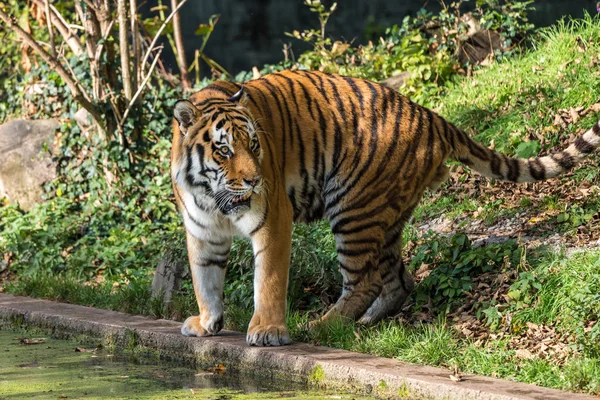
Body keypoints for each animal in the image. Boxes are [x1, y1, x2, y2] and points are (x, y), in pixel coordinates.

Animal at [170, 68, 600, 344]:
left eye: (255, 144)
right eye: (224, 150)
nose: (255, 180)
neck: (212, 194)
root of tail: (432, 116)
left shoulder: (274, 219)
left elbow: (269, 280)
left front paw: (267, 332)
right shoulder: (202, 231)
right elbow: (205, 280)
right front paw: (207, 322)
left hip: (351, 207)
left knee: (365, 281)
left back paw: (322, 327)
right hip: (384, 215)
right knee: (398, 281)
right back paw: (364, 324)